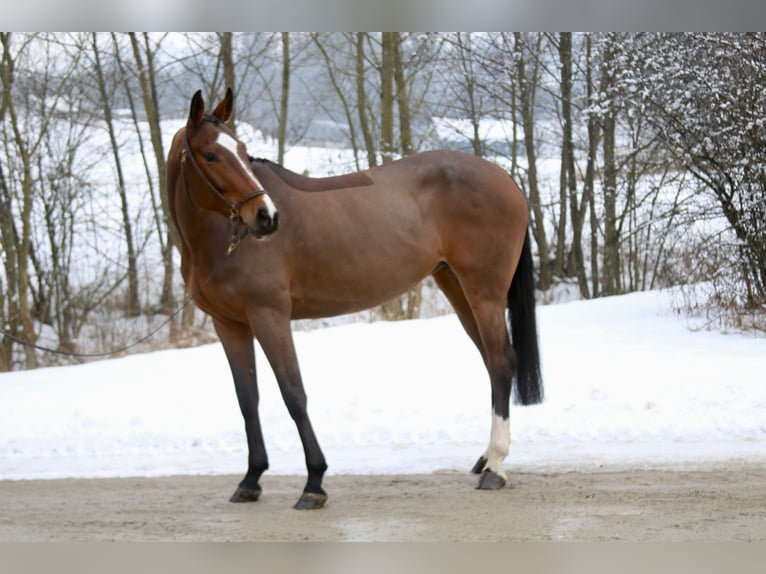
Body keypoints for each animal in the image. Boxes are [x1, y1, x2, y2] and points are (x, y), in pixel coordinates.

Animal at [166, 88, 543, 510]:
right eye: (211, 155)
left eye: (244, 152)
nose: (266, 217)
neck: (219, 241)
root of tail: (505, 178)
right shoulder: (230, 325)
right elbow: (248, 401)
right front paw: (251, 479)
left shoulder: (270, 316)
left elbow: (293, 394)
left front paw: (314, 482)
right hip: (457, 287)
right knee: (491, 362)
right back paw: (486, 458)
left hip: (485, 291)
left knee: (501, 362)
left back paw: (496, 468)